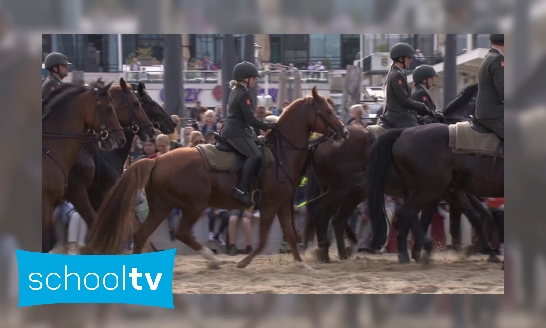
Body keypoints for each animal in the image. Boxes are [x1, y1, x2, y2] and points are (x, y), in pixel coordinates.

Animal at [83, 87, 346, 270]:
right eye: (328, 111)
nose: (343, 131)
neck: (282, 154)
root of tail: (156, 160)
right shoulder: (270, 205)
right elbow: (262, 241)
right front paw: (242, 263)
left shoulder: (282, 205)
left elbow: (290, 235)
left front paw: (302, 263)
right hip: (194, 205)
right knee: (181, 233)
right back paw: (212, 259)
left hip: (162, 206)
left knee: (140, 235)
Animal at [364, 124, 500, 266]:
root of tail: (403, 132)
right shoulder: (444, 193)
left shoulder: (451, 192)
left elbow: (480, 217)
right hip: (428, 191)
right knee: (405, 213)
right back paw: (422, 248)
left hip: (419, 190)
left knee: (407, 215)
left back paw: (406, 254)